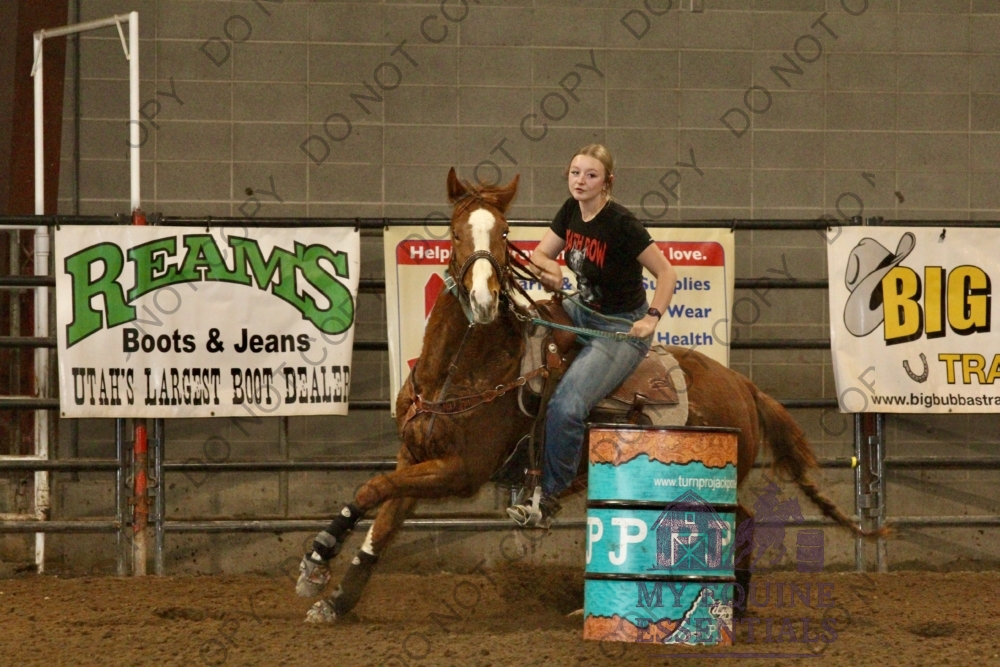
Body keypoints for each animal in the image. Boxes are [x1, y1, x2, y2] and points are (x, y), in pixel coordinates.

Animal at [297, 168, 878, 624]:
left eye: (504, 232)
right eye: (455, 232)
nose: (483, 299)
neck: (462, 370)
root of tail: (744, 385)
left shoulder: (461, 469)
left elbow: (372, 488)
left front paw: (317, 560)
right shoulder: (415, 454)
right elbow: (384, 519)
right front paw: (335, 598)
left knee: (737, 525)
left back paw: (722, 604)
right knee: (740, 521)